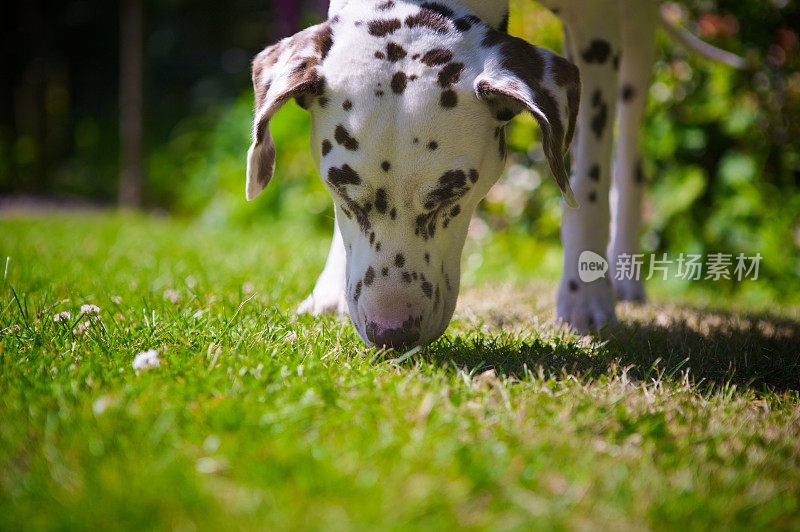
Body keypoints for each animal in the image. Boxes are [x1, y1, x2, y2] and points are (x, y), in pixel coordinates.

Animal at [247, 0, 740, 348]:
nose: (392, 333)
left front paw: (585, 296)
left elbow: (587, 185)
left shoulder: (595, 29)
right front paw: (330, 287)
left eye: (451, 196)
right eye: (343, 192)